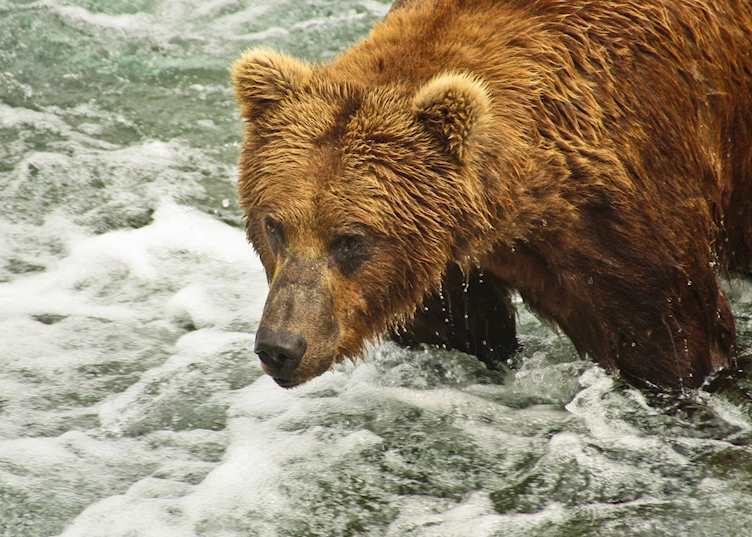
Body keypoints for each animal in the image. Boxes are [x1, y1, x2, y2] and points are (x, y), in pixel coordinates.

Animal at [231, 0, 752, 390]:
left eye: (350, 239)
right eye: (274, 226)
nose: (281, 347)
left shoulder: (622, 217)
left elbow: (674, 341)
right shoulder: (441, 269)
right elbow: (464, 335)